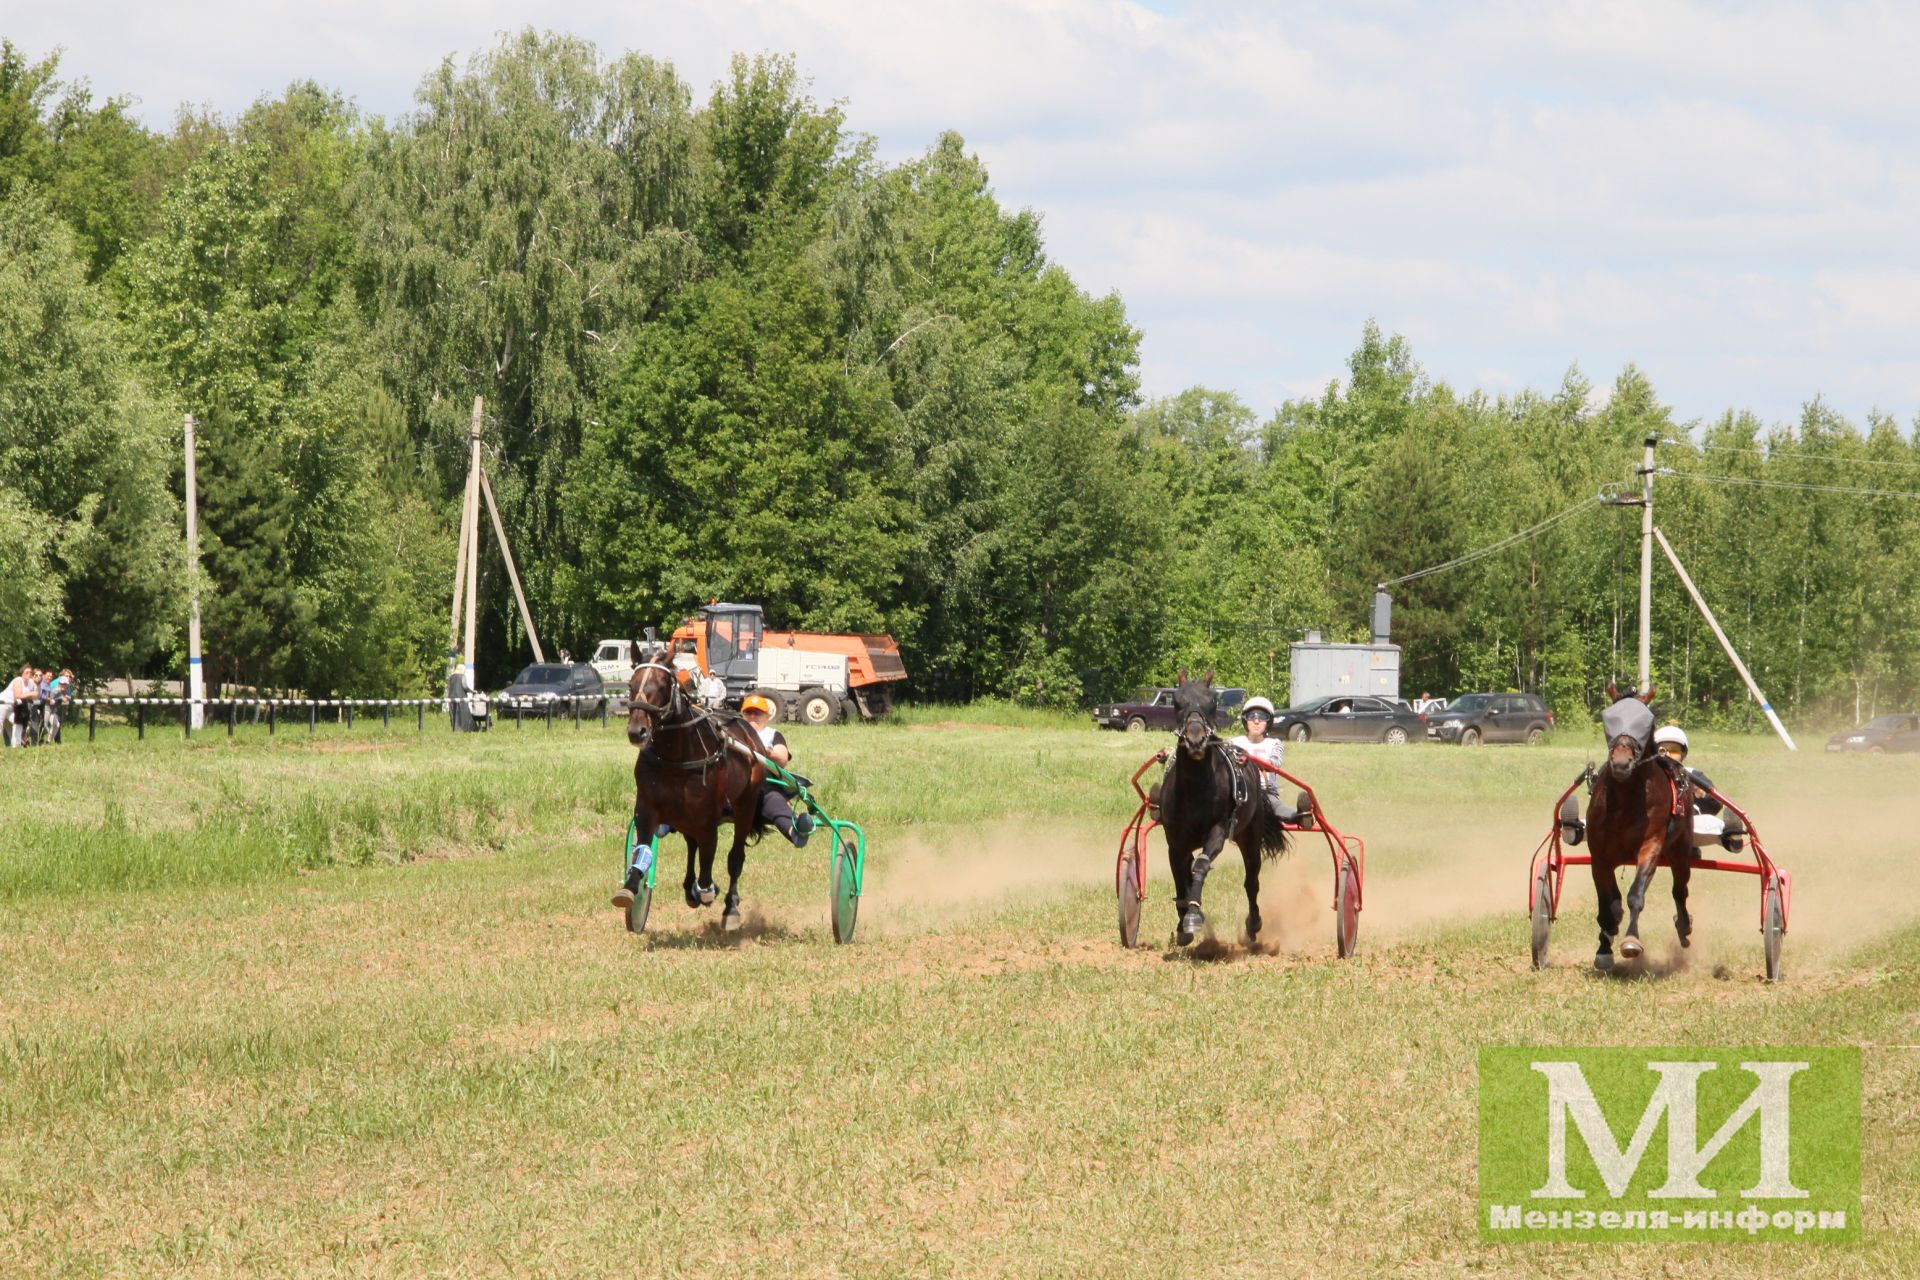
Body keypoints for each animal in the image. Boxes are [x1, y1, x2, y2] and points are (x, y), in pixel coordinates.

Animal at [614, 660, 764, 932]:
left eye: (662, 686)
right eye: (631, 685)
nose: (637, 731)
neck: (675, 758)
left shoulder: (707, 818)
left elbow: (709, 856)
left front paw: (708, 890)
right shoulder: (647, 809)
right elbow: (643, 849)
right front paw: (630, 888)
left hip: (746, 806)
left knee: (735, 857)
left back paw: (729, 907)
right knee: (692, 845)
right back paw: (690, 888)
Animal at [1152, 667, 1290, 948]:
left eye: (1212, 702)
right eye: (1177, 702)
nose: (1195, 740)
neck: (1195, 788)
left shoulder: (1217, 831)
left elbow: (1201, 865)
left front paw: (1193, 915)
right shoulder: (1175, 841)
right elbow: (1180, 877)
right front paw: (1183, 923)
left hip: (1250, 836)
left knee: (1251, 881)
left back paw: (1253, 924)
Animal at [1582, 679, 1689, 971]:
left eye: (1646, 722)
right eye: (1610, 718)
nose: (1621, 762)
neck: (1625, 800)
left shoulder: (1651, 845)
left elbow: (1635, 895)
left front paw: (1630, 941)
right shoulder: (1599, 855)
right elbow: (1608, 904)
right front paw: (1604, 946)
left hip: (1681, 850)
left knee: (1680, 890)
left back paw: (1684, 926)